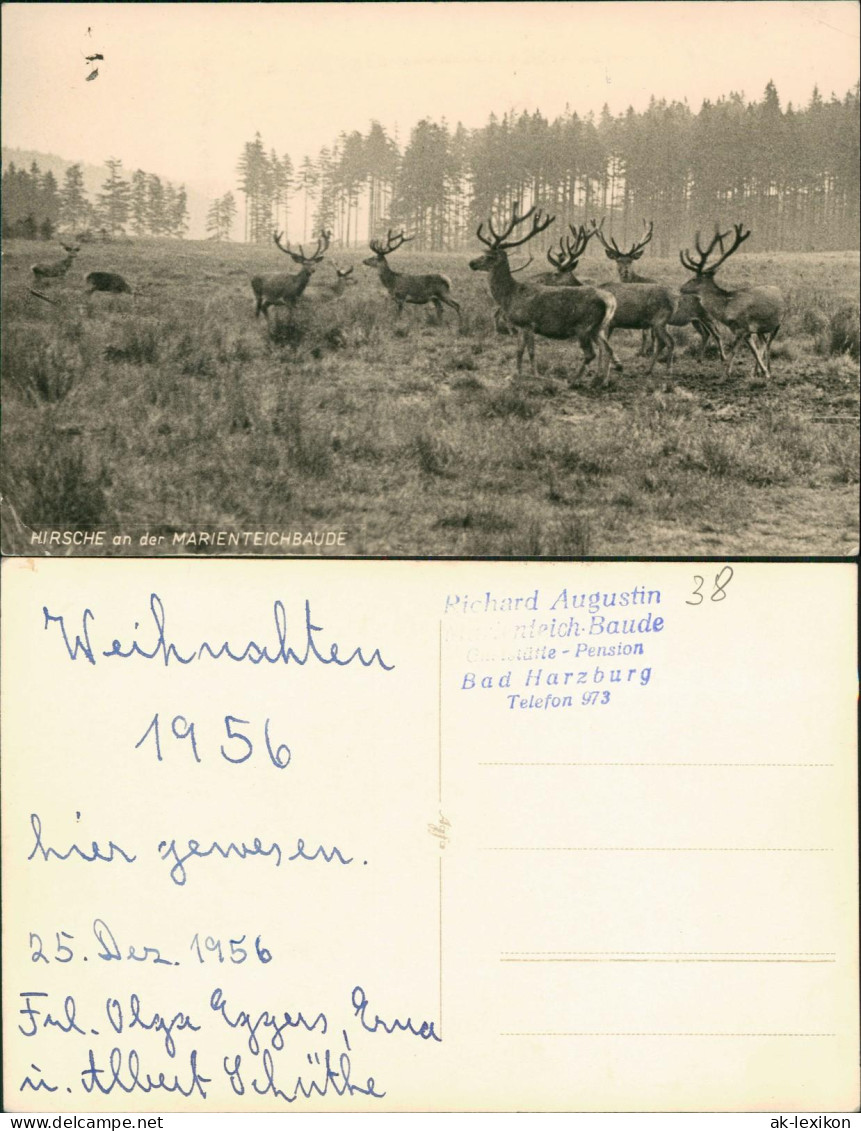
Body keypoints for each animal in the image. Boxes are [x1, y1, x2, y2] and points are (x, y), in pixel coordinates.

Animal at [470, 201, 620, 382]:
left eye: (490, 256)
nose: (471, 263)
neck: (510, 295)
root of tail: (610, 301)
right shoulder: (520, 325)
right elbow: (519, 351)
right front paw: (516, 373)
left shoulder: (528, 323)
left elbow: (531, 352)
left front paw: (535, 375)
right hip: (599, 328)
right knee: (607, 349)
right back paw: (600, 381)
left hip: (584, 326)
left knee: (591, 353)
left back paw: (574, 380)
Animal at [588, 218, 724, 359]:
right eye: (618, 260)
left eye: (630, 261)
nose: (625, 271)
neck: (638, 280)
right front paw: (647, 351)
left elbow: (647, 334)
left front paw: (647, 352)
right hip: (696, 319)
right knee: (705, 333)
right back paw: (700, 357)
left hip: (707, 315)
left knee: (716, 333)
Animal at [683, 223, 782, 380]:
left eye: (694, 279)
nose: (681, 288)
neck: (726, 309)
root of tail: (779, 290)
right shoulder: (743, 330)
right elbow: (753, 351)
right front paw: (762, 372)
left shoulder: (742, 327)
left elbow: (734, 351)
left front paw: (724, 375)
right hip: (761, 329)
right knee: (763, 344)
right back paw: (762, 370)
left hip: (778, 324)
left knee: (768, 344)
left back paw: (767, 370)